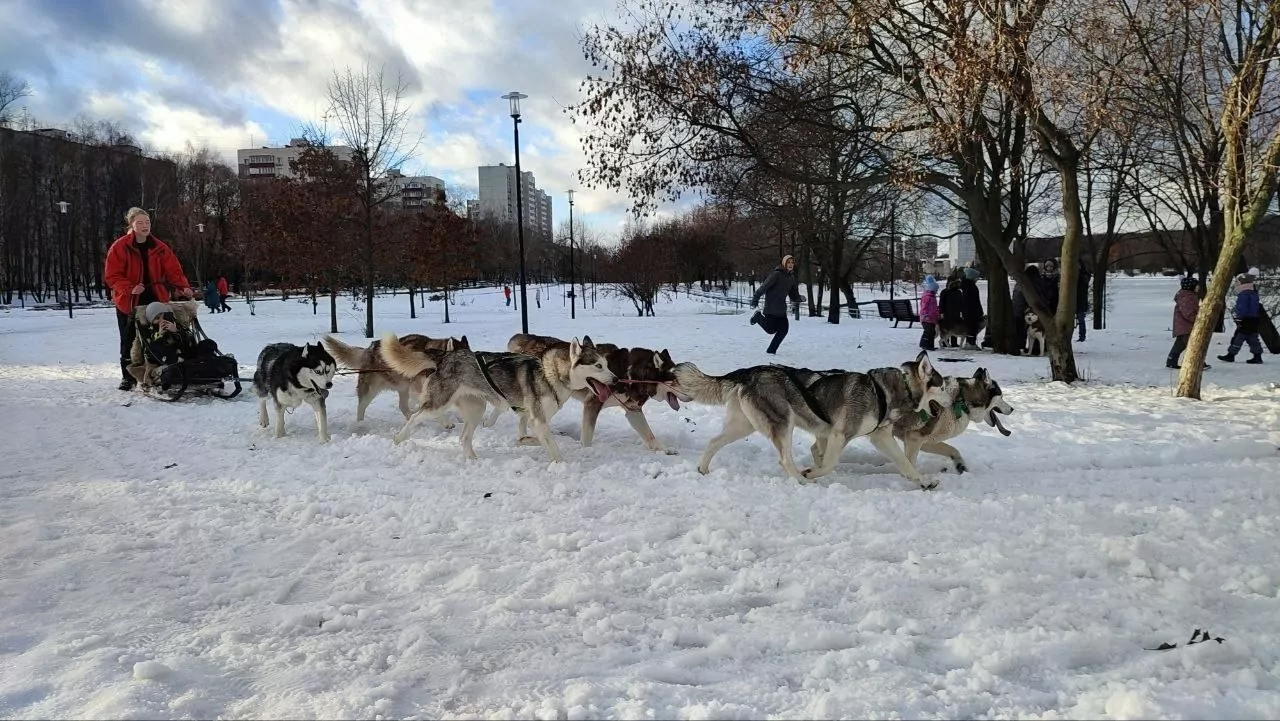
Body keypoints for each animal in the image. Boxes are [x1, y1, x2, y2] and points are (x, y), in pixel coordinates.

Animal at [325, 332, 471, 422]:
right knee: (361, 408)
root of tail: (368, 349)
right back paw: (360, 425)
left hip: (403, 387)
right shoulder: (421, 390)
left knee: (403, 406)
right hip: (370, 390)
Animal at [376, 332, 616, 463]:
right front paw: (560, 465)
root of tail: (445, 355)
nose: (614, 380)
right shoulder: (538, 418)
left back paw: (473, 459)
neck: (551, 374)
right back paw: (399, 438)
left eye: (607, 364)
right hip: (438, 403)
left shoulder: (533, 418)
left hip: (476, 409)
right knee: (415, 416)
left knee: (464, 437)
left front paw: (528, 441)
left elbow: (531, 436)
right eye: (598, 366)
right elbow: (551, 444)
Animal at [506, 330, 691, 453]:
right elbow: (587, 438)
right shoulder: (592, 404)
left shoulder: (633, 410)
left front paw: (664, 449)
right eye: (676, 381)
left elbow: (650, 435)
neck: (628, 373)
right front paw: (585, 451)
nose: (691, 396)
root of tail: (521, 337)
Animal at [675, 353, 947, 489]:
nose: (952, 400)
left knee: (713, 442)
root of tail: (749, 372)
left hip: (742, 426)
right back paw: (799, 479)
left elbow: (906, 464)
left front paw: (924, 481)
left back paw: (703, 469)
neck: (885, 391)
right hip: (783, 423)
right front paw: (813, 472)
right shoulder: (839, 434)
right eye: (943, 386)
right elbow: (828, 463)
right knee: (785, 459)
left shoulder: (880, 437)